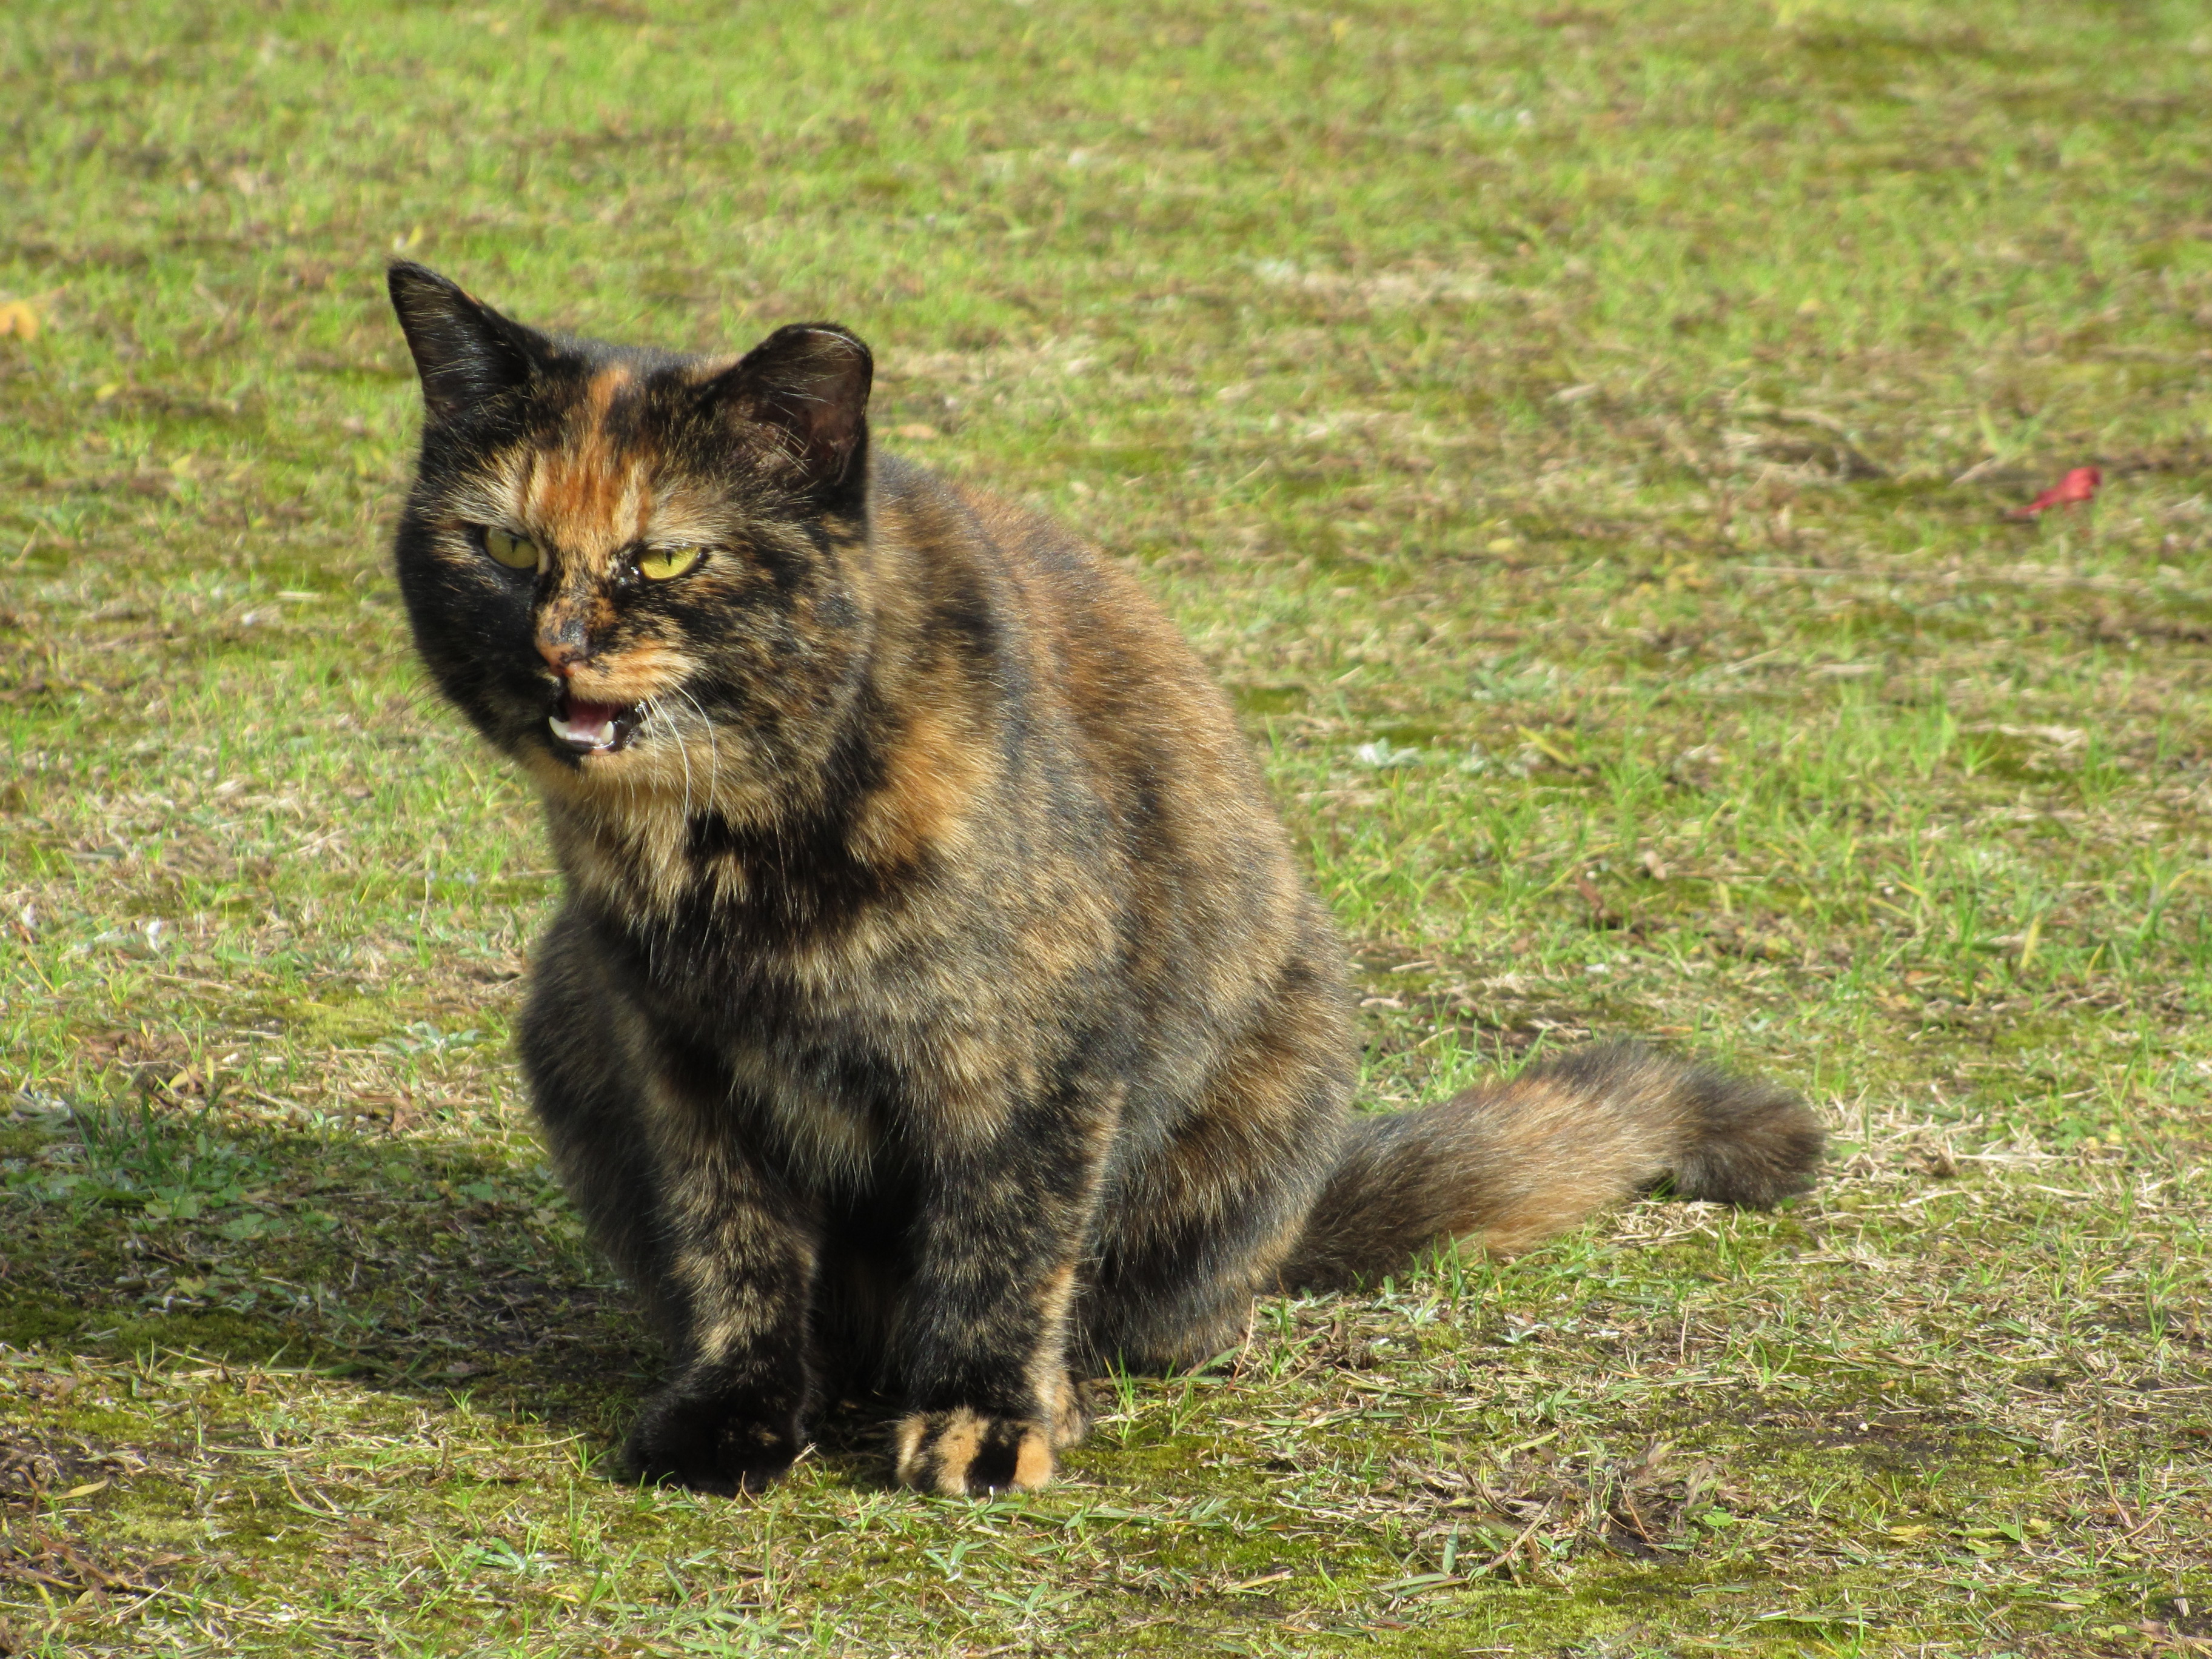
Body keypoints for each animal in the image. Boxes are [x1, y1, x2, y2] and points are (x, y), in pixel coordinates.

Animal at [384, 261, 1825, 1497]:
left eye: (669, 556)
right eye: (505, 550)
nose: (555, 648)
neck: (739, 846)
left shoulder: (1037, 1061)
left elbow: (1005, 1245)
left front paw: (984, 1421)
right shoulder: (682, 1058)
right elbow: (733, 1244)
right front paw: (734, 1413)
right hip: (562, 997)